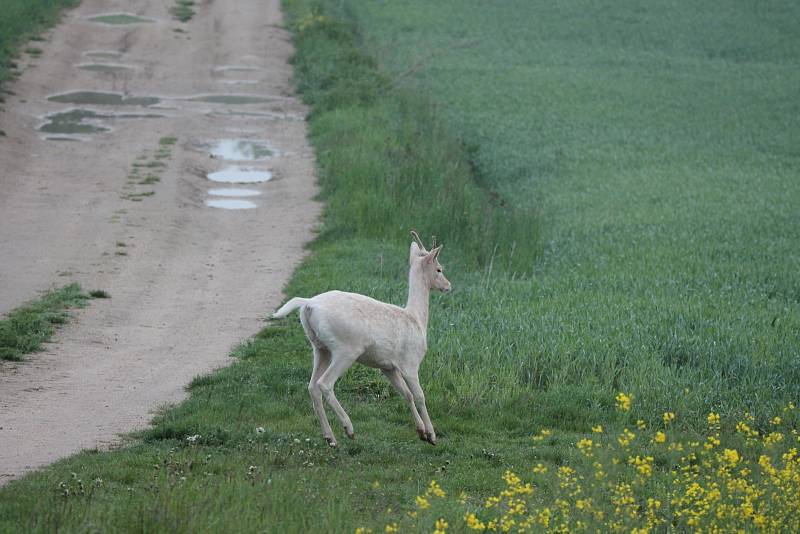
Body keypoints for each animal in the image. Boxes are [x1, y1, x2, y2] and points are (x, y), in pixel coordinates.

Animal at [272, 232, 450, 446]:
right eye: (439, 269)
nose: (448, 285)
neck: (417, 319)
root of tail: (308, 305)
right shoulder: (410, 362)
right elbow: (420, 395)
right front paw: (431, 435)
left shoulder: (387, 366)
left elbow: (406, 394)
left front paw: (421, 431)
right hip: (346, 349)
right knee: (324, 384)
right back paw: (348, 428)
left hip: (319, 347)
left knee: (312, 386)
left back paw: (330, 438)